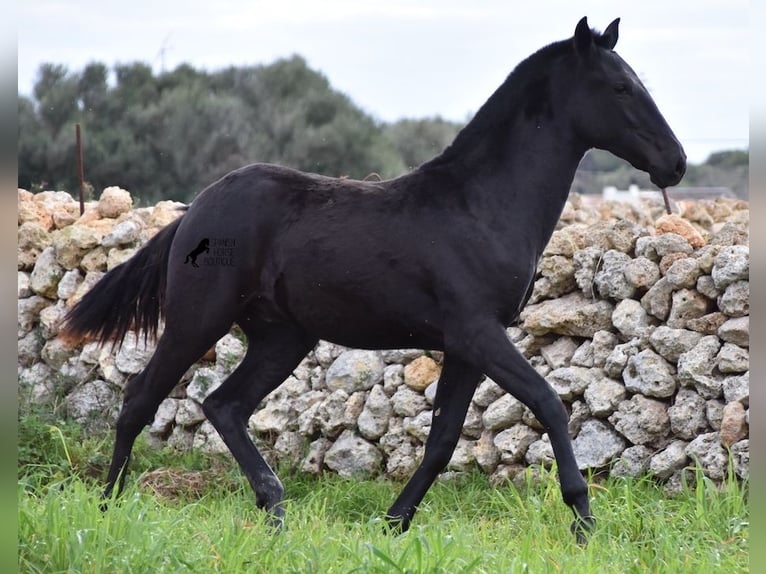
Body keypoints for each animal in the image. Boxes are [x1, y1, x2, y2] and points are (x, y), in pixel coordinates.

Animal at [61, 15, 684, 544]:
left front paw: (393, 524)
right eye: (619, 87)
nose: (675, 163)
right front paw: (583, 520)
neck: (480, 205)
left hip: (282, 337)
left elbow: (441, 441)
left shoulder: (464, 346)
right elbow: (550, 404)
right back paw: (108, 509)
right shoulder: (479, 332)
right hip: (198, 320)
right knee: (141, 400)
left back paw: (275, 512)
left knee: (225, 406)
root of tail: (193, 213)